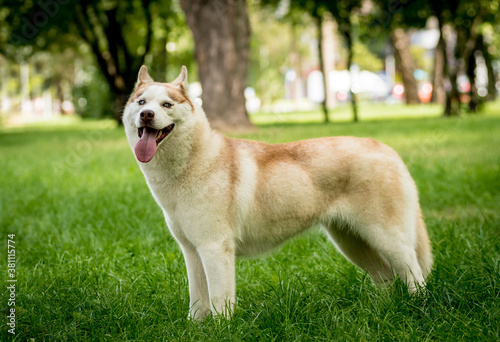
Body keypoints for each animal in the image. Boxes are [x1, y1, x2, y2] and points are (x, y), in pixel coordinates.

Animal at [123, 65, 432, 320]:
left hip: (386, 238)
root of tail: (386, 148)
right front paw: (196, 329)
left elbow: (220, 301)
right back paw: (383, 311)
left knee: (414, 274)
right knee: (387, 279)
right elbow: (198, 303)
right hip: (352, 242)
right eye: (141, 102)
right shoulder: (192, 251)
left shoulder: (215, 249)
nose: (147, 115)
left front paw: (221, 330)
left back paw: (418, 307)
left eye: (167, 104)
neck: (192, 163)